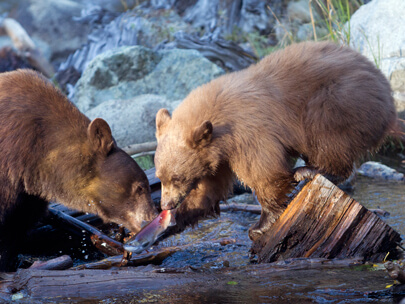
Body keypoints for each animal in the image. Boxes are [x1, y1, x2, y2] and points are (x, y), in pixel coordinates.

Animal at [153, 41, 396, 240]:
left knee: (327, 134)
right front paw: (170, 223)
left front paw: (261, 224)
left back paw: (310, 170)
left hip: (340, 98)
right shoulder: (217, 155)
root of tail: (389, 101)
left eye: (177, 177)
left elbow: (265, 173)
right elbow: (209, 190)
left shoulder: (249, 132)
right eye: (161, 177)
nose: (166, 203)